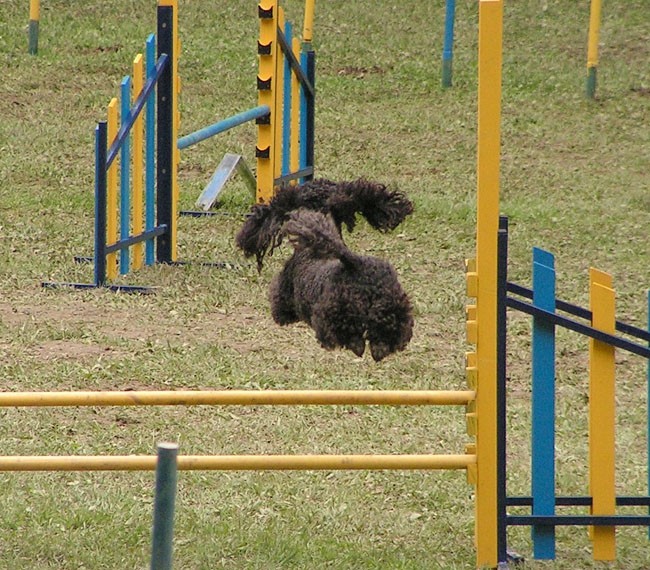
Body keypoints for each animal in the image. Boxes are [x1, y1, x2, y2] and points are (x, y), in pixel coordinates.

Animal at [270, 209, 412, 360]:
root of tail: (356, 265)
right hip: (390, 306)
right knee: (391, 330)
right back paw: (380, 350)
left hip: (338, 308)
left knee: (345, 332)